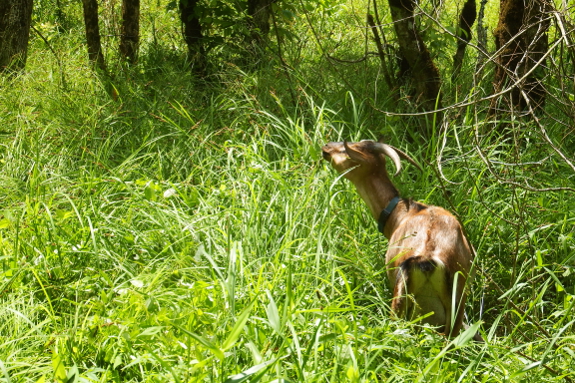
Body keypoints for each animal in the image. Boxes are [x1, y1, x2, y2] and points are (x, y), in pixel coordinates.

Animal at [324, 141, 482, 342]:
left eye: (346, 149)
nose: (326, 148)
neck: (402, 213)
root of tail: (428, 258)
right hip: (454, 308)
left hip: (401, 298)